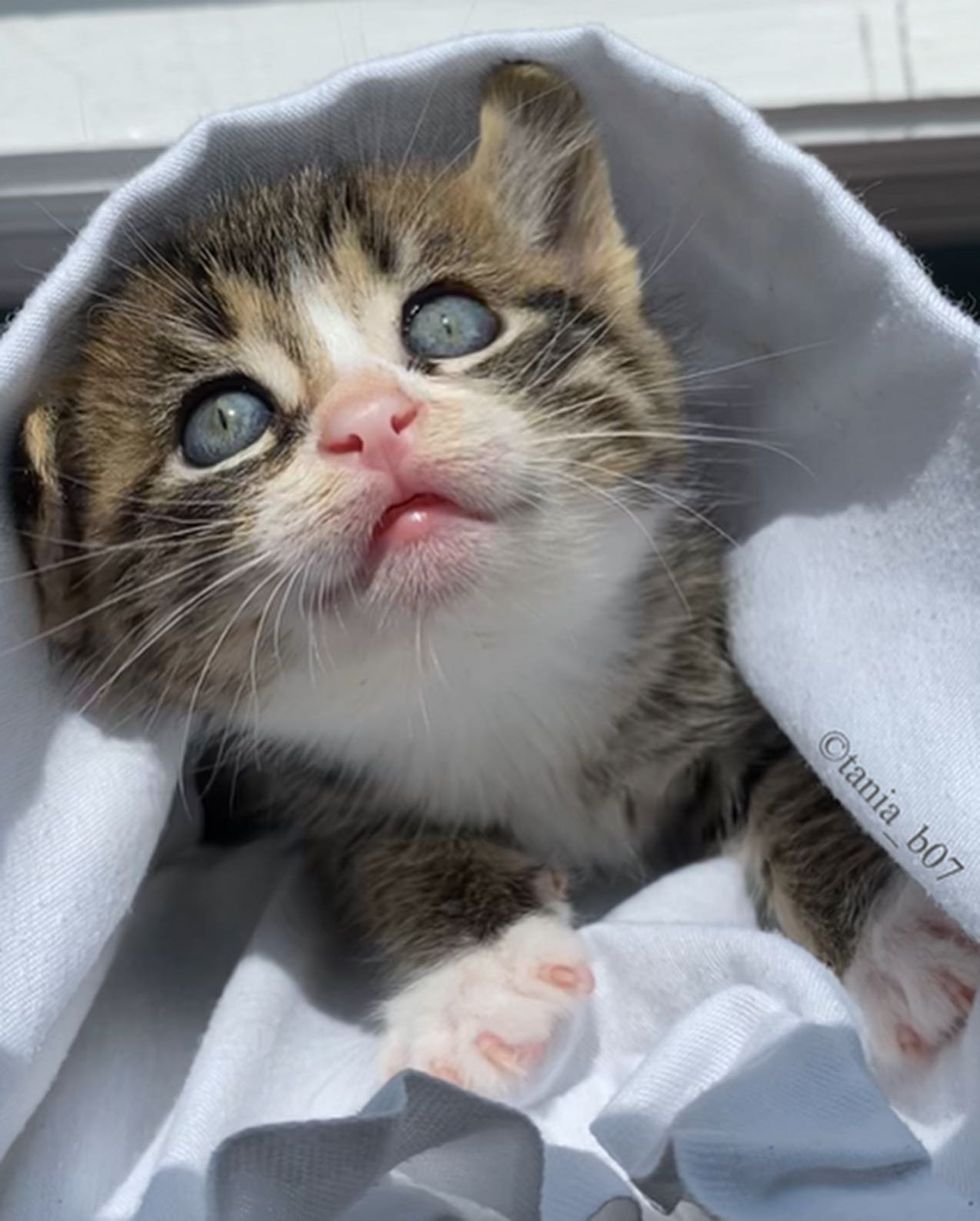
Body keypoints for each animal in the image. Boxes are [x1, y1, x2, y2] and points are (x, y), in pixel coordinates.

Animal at [11, 64, 976, 1098]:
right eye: (222, 422)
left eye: (448, 322)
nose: (370, 419)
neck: (485, 657)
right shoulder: (304, 786)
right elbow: (379, 848)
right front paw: (477, 980)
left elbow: (800, 769)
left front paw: (888, 933)